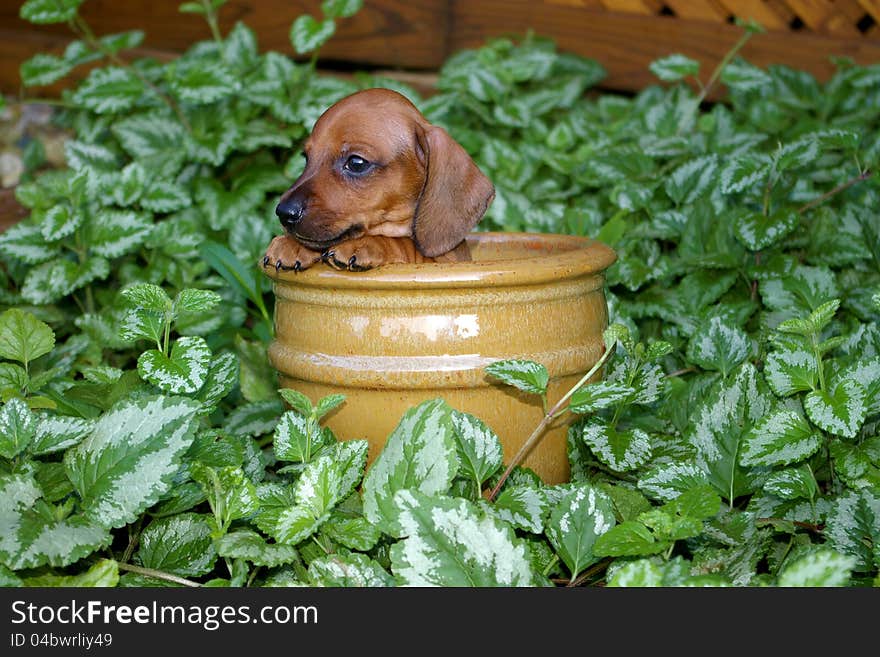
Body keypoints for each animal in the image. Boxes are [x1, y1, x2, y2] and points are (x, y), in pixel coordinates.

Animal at [262, 88, 496, 272]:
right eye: (306, 158)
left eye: (356, 163)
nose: (284, 213)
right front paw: (292, 244)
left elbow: (405, 245)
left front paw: (367, 244)